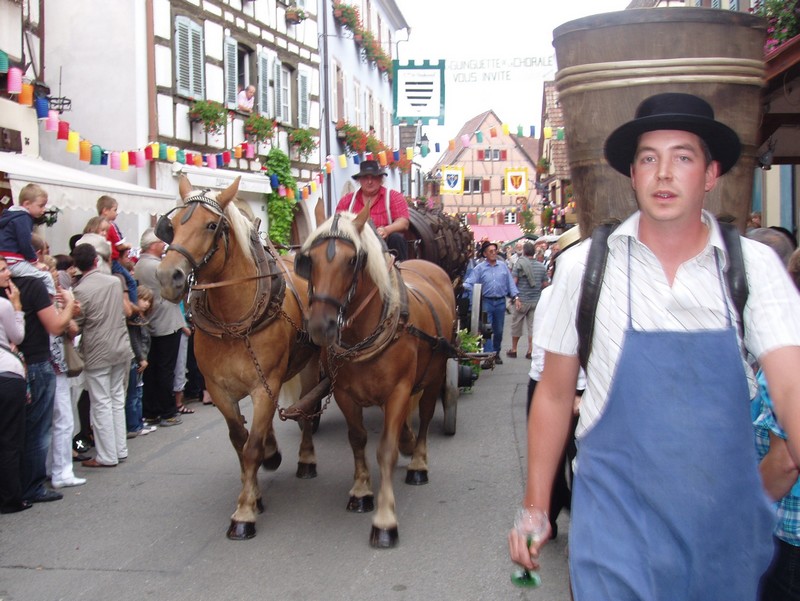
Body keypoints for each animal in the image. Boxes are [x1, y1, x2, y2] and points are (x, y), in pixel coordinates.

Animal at [156, 177, 318, 540]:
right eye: (171, 226)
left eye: (211, 225)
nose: (168, 277)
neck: (233, 320)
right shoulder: (219, 390)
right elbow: (239, 442)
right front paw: (253, 494)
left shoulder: (263, 385)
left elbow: (252, 446)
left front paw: (244, 513)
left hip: (312, 366)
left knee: (306, 409)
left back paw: (306, 459)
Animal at [294, 206, 456, 548]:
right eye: (308, 261)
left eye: (352, 260)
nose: (321, 326)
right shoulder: (344, 394)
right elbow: (357, 440)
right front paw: (361, 491)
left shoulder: (398, 391)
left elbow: (385, 450)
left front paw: (384, 519)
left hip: (435, 374)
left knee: (425, 416)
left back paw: (418, 462)